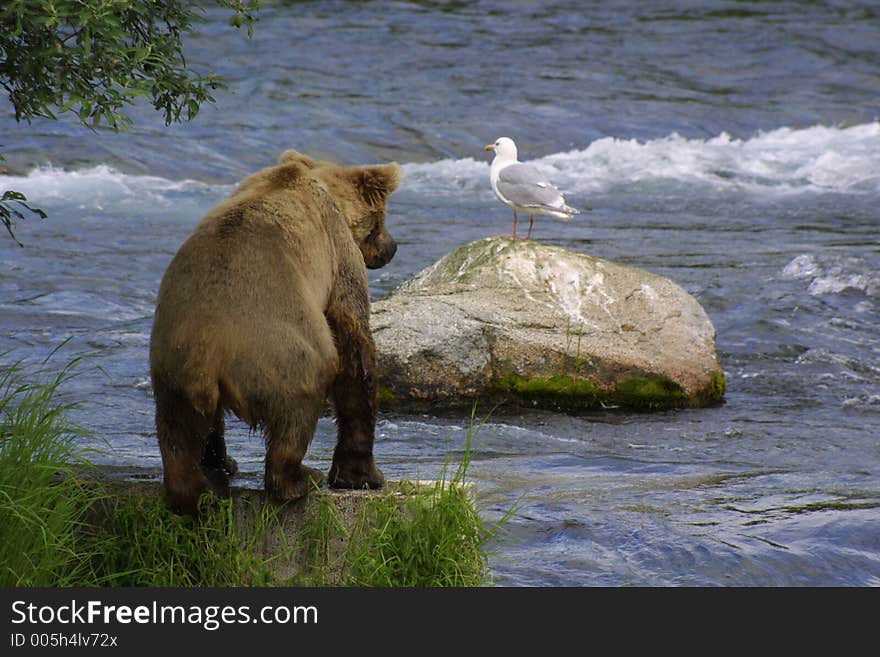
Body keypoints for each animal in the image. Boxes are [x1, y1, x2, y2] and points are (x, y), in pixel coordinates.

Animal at [149, 147, 402, 512]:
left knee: (179, 428)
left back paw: (203, 483)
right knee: (301, 403)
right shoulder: (338, 253)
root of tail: (210, 350)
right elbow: (355, 348)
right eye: (382, 220)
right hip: (281, 352)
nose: (392, 247)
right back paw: (298, 479)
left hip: (173, 365)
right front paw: (365, 475)